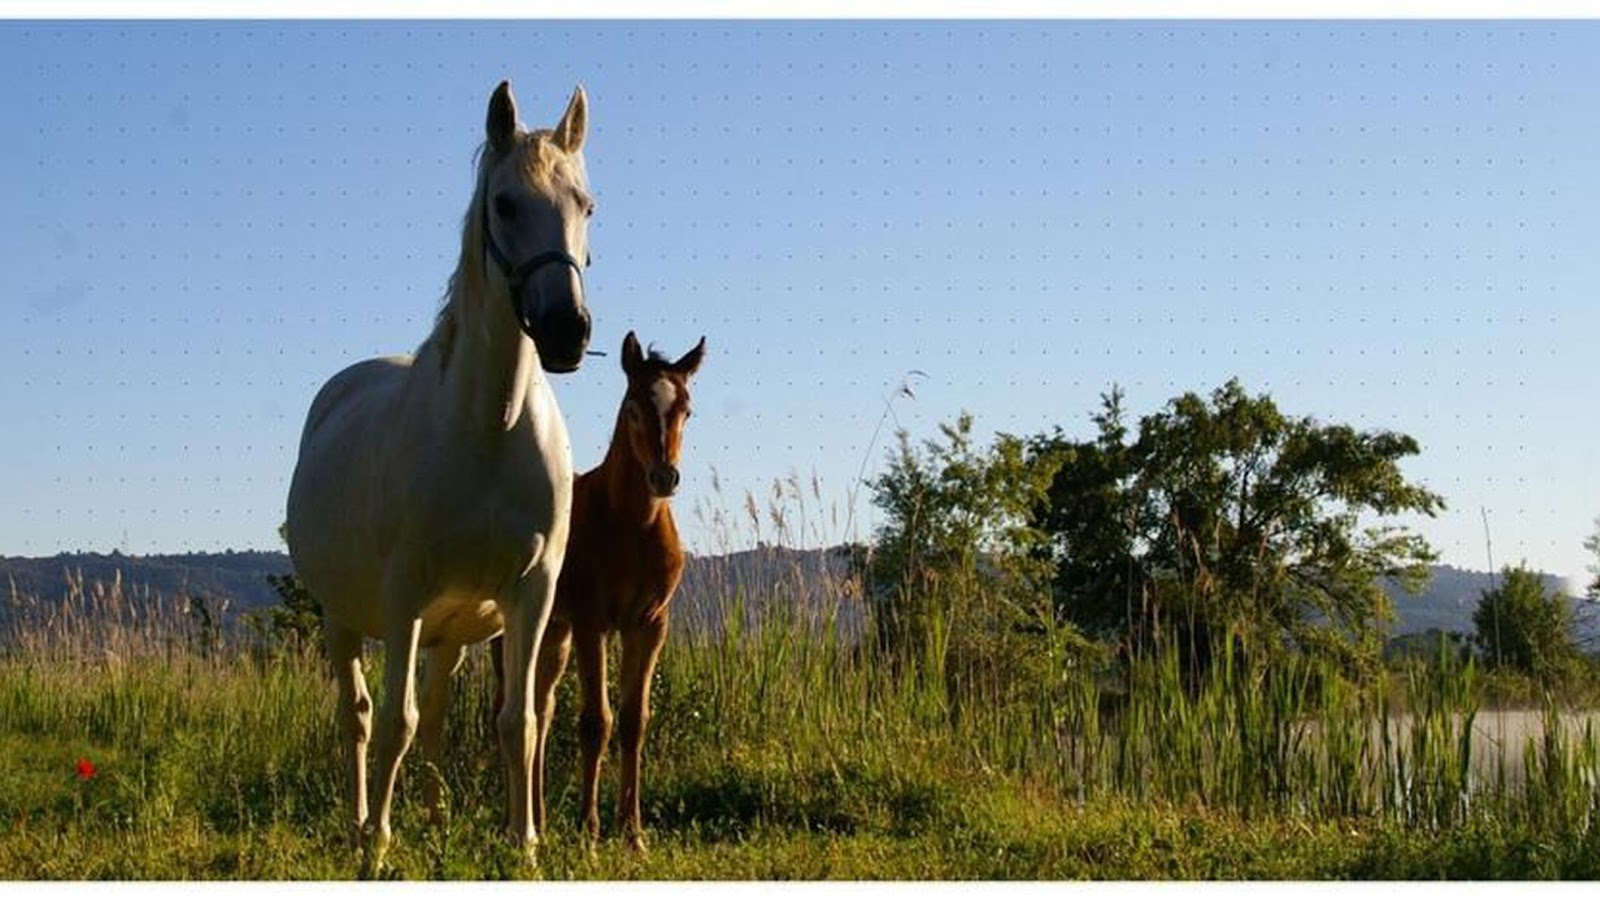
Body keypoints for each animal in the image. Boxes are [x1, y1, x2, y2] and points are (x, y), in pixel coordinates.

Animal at [284, 81, 595, 874]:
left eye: (586, 203)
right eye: (505, 203)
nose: (566, 330)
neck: (489, 429)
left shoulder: (530, 592)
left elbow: (516, 723)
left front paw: (524, 846)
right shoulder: (403, 596)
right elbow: (394, 719)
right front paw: (378, 848)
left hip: (449, 632)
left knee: (437, 721)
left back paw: (432, 818)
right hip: (345, 619)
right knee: (361, 718)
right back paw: (362, 823)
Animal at [491, 330, 705, 853]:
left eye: (686, 409)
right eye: (633, 406)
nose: (664, 477)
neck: (632, 525)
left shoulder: (649, 625)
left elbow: (633, 721)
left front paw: (632, 832)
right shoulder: (594, 623)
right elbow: (595, 722)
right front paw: (589, 831)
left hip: (554, 634)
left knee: (541, 711)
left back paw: (541, 819)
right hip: (514, 634)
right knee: (510, 708)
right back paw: (513, 822)